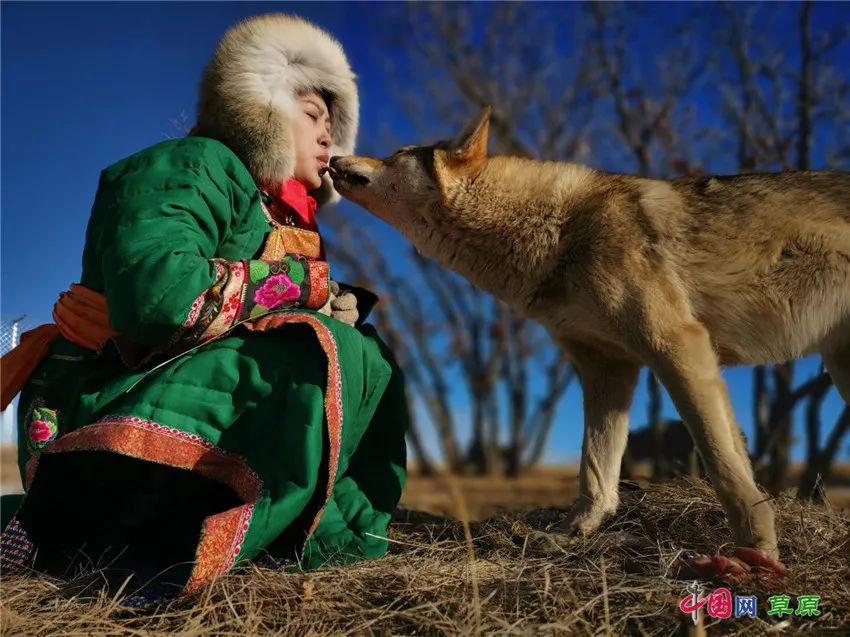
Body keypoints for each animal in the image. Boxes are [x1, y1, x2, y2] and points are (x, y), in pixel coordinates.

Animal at [330, 108, 848, 568]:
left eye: (395, 155)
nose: (334, 157)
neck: (558, 231)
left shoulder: (676, 344)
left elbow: (723, 462)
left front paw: (757, 552)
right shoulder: (608, 368)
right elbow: (596, 470)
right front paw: (571, 535)